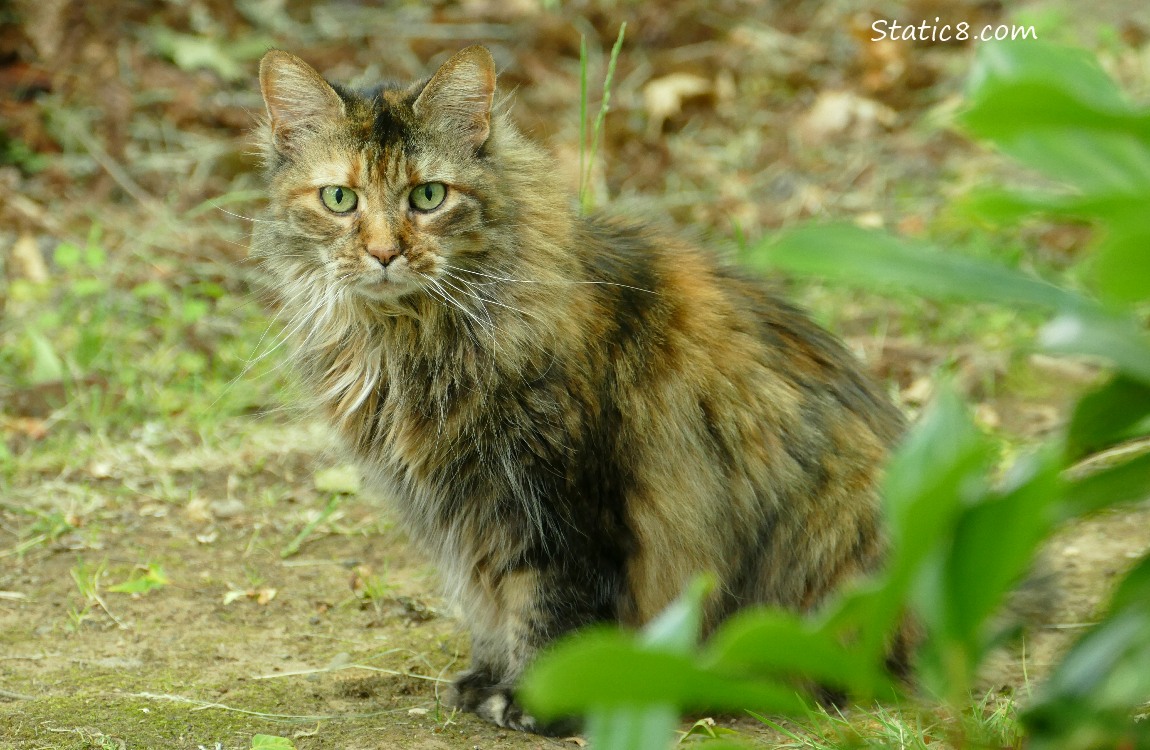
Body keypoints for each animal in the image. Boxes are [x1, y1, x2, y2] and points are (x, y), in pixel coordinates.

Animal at [251, 45, 906, 731]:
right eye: (339, 198)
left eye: (428, 196)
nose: (383, 254)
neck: (410, 342)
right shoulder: (462, 514)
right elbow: (487, 602)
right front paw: (485, 681)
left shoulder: (560, 505)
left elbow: (548, 608)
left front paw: (535, 700)